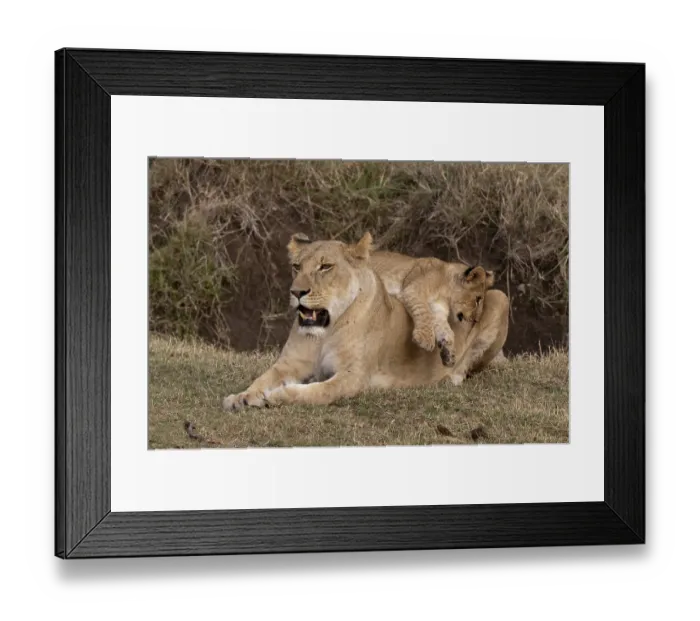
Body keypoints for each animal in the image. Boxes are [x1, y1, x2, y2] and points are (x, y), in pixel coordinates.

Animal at [222, 232, 509, 410]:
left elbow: (316, 392)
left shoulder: (353, 377)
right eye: (296, 267)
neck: (326, 330)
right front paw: (242, 396)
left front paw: (278, 395)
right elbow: (262, 379)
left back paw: (452, 374)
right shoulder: (289, 363)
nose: (296, 292)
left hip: (501, 298)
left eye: (325, 267)